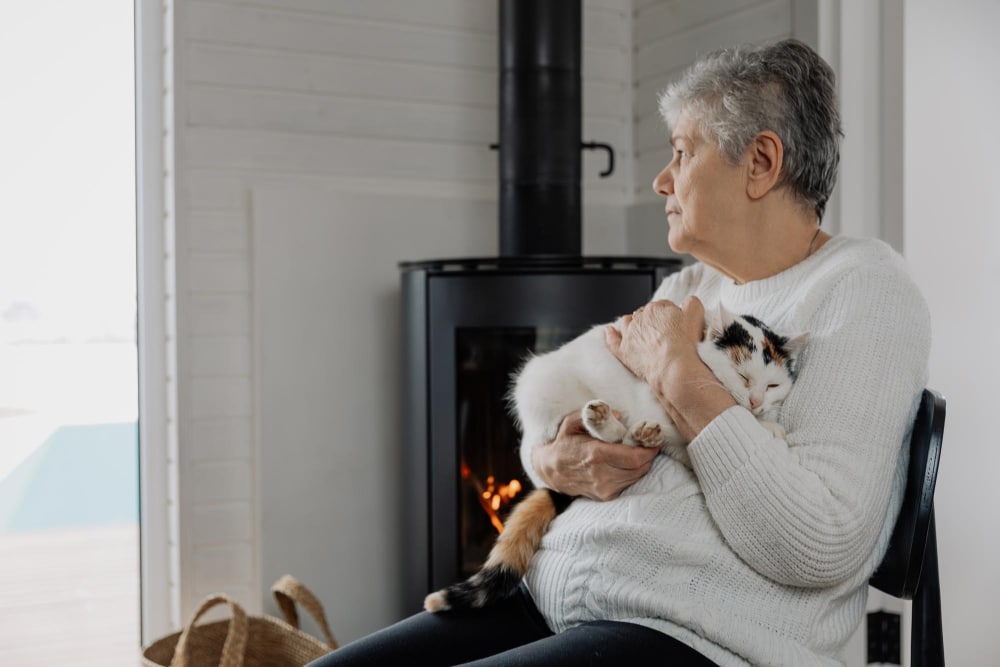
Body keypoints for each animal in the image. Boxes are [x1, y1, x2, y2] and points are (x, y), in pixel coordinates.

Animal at [422, 306, 804, 612]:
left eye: (772, 385)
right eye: (743, 377)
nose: (755, 402)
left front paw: (768, 424)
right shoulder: (660, 401)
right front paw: (765, 425)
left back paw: (637, 432)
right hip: (546, 396)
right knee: (606, 432)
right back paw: (606, 420)